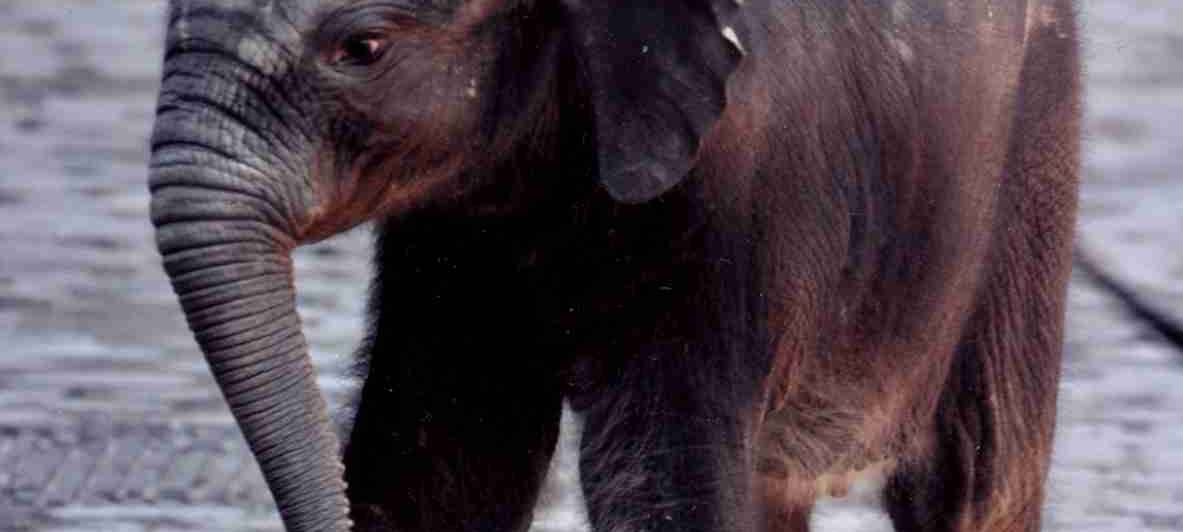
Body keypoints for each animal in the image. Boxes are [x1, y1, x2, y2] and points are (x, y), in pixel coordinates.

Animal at [147, 1, 1081, 531]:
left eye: (364, 48)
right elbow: (443, 464)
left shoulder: (742, 179)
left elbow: (661, 475)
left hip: (1031, 146)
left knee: (975, 477)